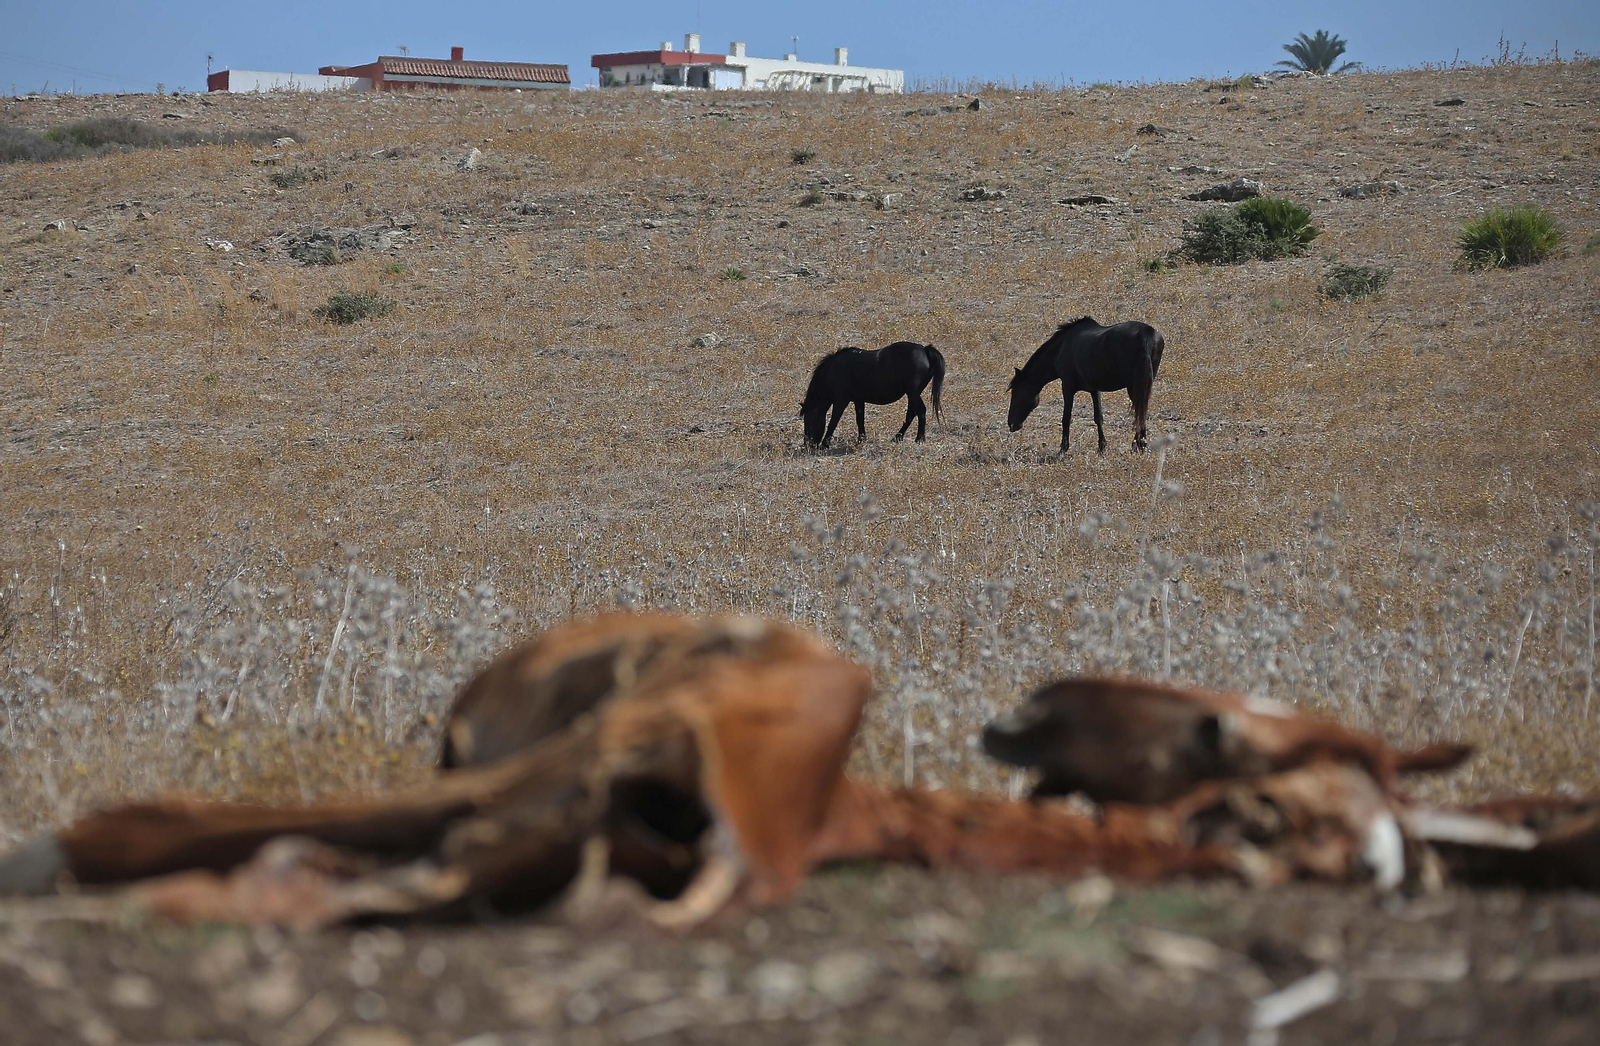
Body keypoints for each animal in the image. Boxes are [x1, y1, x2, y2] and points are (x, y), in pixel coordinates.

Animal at [801, 341, 945, 449]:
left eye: (808, 419)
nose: (808, 445)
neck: (835, 370)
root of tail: (925, 350)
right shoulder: (858, 400)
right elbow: (859, 419)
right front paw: (861, 439)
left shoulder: (841, 401)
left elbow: (833, 421)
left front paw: (825, 444)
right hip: (913, 394)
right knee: (911, 413)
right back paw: (897, 437)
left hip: (913, 393)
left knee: (920, 411)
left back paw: (919, 438)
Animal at [1006, 318, 1165, 454]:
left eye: (1016, 393)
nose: (1011, 424)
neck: (1061, 348)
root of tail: (1146, 334)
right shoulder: (1094, 389)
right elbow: (1098, 417)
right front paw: (1101, 447)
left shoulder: (1067, 387)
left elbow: (1066, 417)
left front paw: (1063, 448)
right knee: (1141, 412)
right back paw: (1140, 444)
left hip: (1134, 387)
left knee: (1139, 412)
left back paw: (1139, 444)